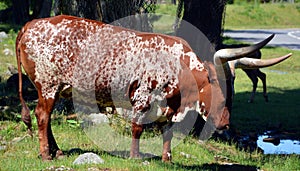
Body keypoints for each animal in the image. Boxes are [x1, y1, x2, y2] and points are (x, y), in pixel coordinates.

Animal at [15, 15, 290, 162]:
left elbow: (168, 132)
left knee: (47, 118)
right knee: (42, 116)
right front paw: (136, 157)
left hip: (56, 88)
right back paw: (46, 155)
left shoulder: (170, 106)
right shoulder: (142, 96)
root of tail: (31, 24)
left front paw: (167, 158)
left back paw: (57, 151)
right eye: (218, 91)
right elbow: (137, 128)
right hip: (48, 84)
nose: (224, 124)